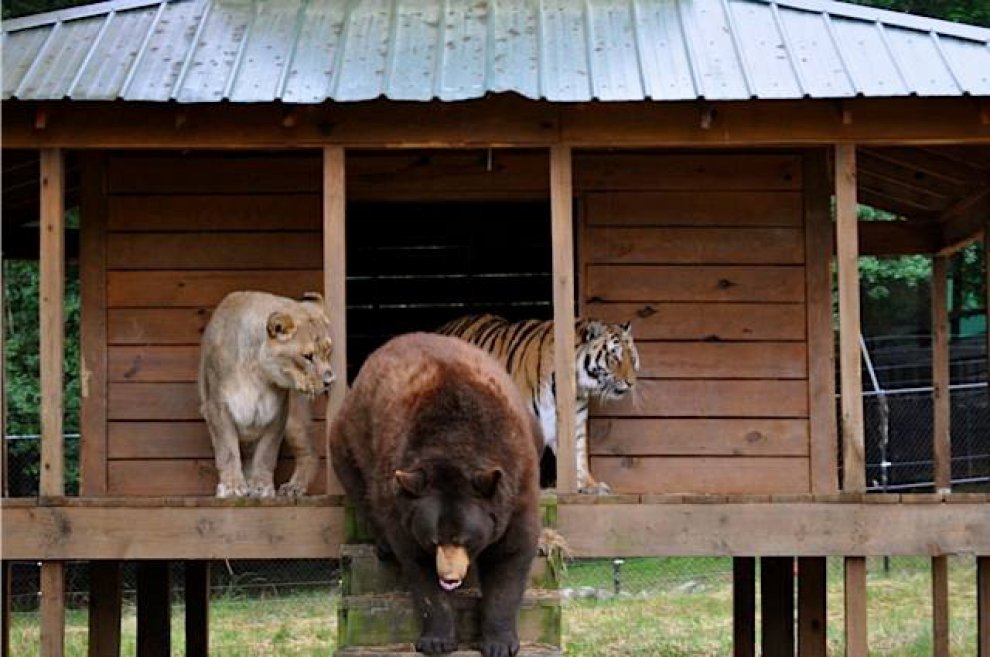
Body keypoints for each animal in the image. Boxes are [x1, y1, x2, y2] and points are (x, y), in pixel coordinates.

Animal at [198, 290, 334, 498]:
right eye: (307, 357)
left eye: (328, 351)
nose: (330, 381)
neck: (257, 373)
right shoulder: (217, 407)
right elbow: (227, 450)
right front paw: (232, 487)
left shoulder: (278, 412)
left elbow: (266, 453)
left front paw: (261, 487)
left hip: (294, 422)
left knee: (310, 454)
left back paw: (294, 487)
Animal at [329, 333, 541, 657]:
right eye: (434, 540)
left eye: (465, 539)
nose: (450, 578)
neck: (454, 441)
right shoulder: (404, 501)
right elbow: (418, 566)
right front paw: (437, 639)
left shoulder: (515, 477)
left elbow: (511, 553)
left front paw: (499, 642)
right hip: (352, 438)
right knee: (361, 485)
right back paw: (382, 543)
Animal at [437, 313, 639, 495]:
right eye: (614, 357)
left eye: (632, 357)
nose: (631, 382)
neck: (576, 386)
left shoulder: (575, 419)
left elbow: (579, 453)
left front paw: (590, 485)